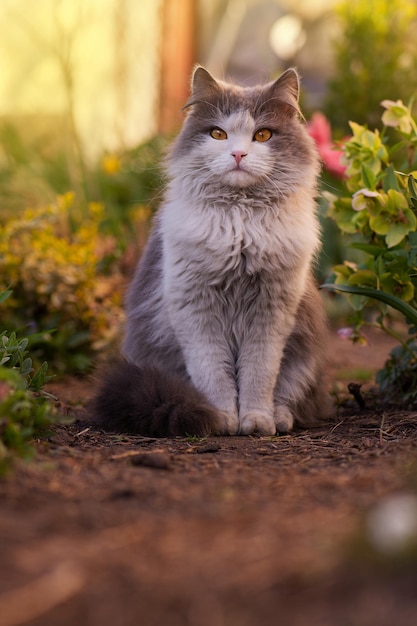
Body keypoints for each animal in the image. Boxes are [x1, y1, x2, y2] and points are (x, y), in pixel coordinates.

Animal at [92, 63, 330, 434]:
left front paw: (256, 421)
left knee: (291, 398)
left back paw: (279, 418)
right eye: (218, 134)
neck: (239, 223)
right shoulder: (195, 309)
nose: (238, 154)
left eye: (263, 135)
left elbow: (259, 375)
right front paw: (220, 420)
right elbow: (213, 375)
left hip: (303, 354)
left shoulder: (271, 312)